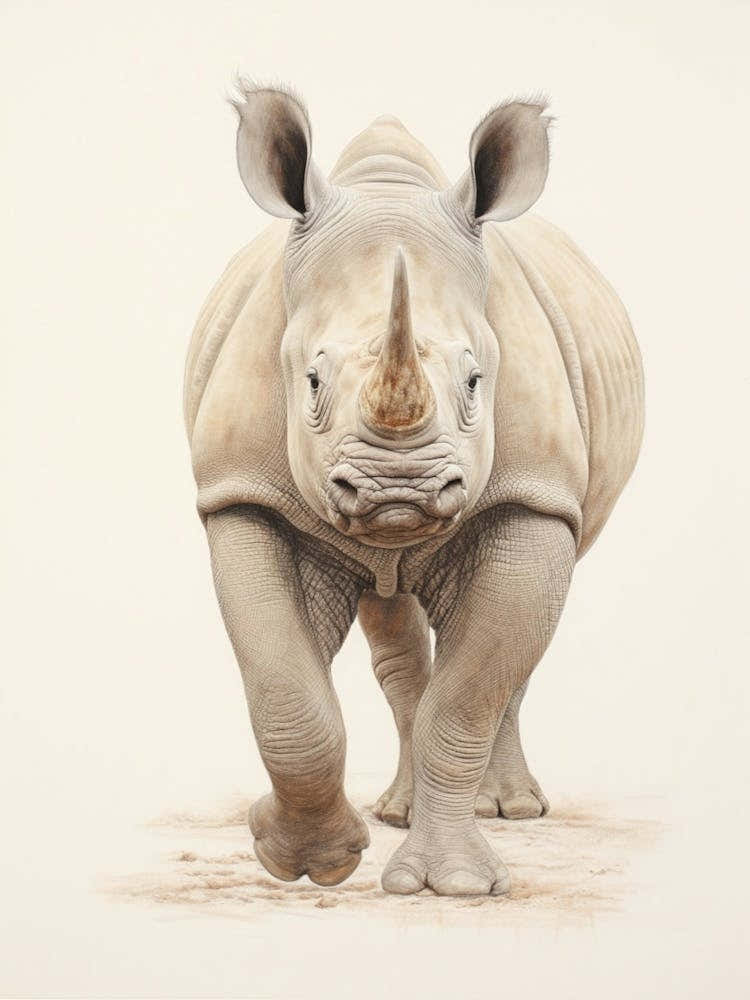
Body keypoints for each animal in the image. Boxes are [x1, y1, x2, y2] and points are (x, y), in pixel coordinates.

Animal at [184, 82, 643, 897]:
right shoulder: (242, 492)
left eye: (476, 381)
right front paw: (303, 860)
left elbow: (469, 695)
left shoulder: (534, 495)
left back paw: (510, 811)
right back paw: (397, 811)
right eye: (311, 381)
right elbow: (287, 696)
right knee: (391, 615)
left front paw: (452, 887)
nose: (399, 487)